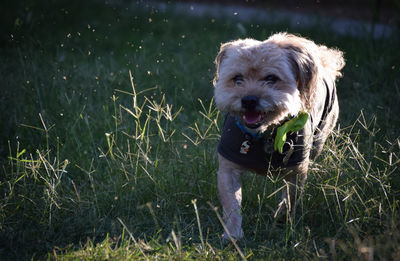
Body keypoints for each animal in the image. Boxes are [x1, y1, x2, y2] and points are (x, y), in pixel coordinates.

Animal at [212, 32, 344, 240]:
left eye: (271, 78)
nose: (249, 100)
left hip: (320, 138)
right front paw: (232, 234)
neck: (266, 133)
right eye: (237, 78)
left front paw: (281, 221)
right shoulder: (228, 169)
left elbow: (289, 200)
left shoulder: (297, 170)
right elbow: (231, 204)